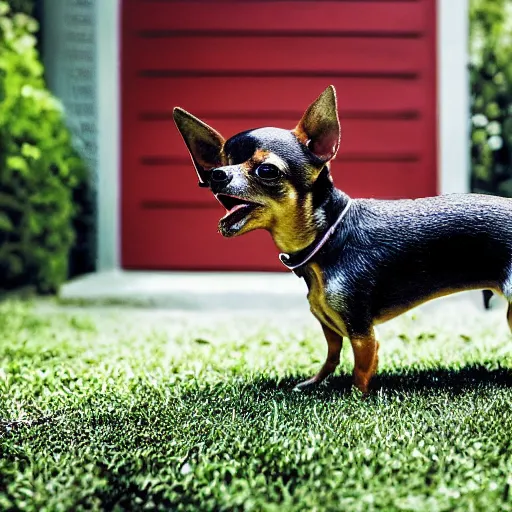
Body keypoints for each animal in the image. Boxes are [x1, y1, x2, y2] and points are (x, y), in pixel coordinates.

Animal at [175, 86, 512, 394]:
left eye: (266, 170)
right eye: (214, 168)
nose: (217, 176)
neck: (329, 238)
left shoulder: (362, 332)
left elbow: (361, 370)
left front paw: (353, 399)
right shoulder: (330, 325)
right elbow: (331, 357)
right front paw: (314, 383)